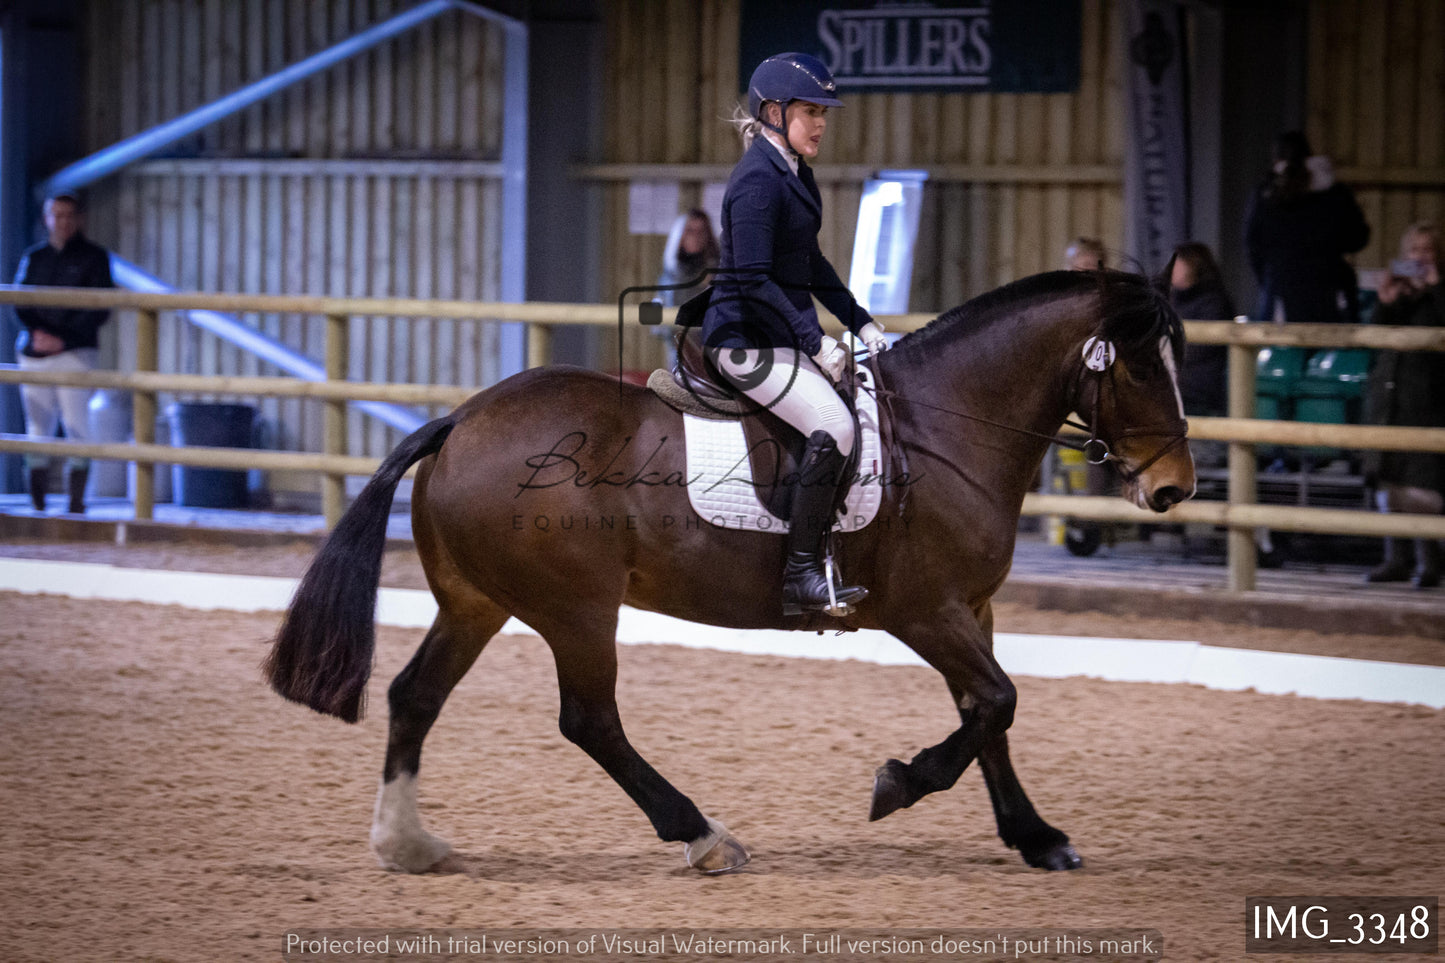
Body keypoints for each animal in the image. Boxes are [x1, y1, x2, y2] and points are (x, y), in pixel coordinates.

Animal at [265, 266, 1190, 873]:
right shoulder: (924, 610)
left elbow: (988, 713)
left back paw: (406, 843)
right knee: (589, 720)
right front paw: (897, 783)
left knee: (414, 695)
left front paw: (1035, 836)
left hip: (476, 602)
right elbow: (996, 700)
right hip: (575, 608)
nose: (1173, 487)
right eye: (1143, 364)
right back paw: (703, 835)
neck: (947, 423)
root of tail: (459, 421)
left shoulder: (973, 606)